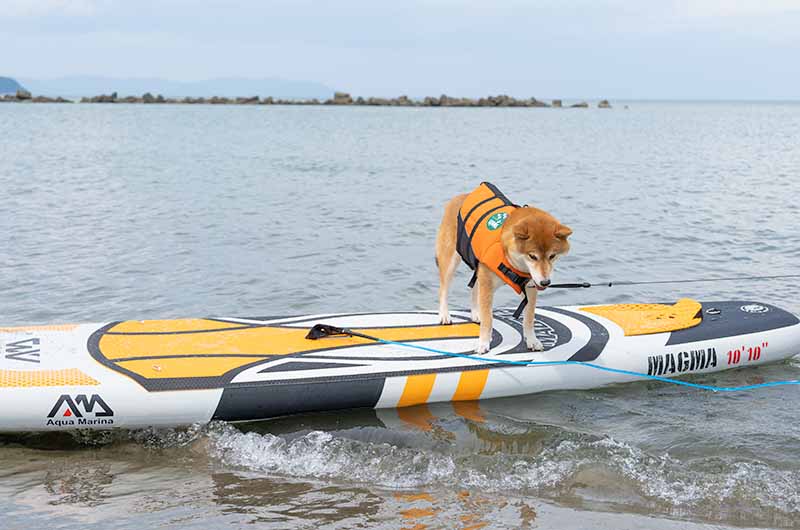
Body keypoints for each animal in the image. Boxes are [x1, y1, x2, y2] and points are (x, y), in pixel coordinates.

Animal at [438, 184, 568, 352]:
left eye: (552, 256)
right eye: (532, 256)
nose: (545, 282)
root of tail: (461, 196)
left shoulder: (530, 287)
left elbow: (529, 318)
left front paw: (532, 340)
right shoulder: (488, 282)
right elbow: (488, 318)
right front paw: (483, 343)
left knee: (474, 289)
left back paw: (476, 313)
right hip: (450, 261)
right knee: (444, 288)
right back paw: (444, 315)